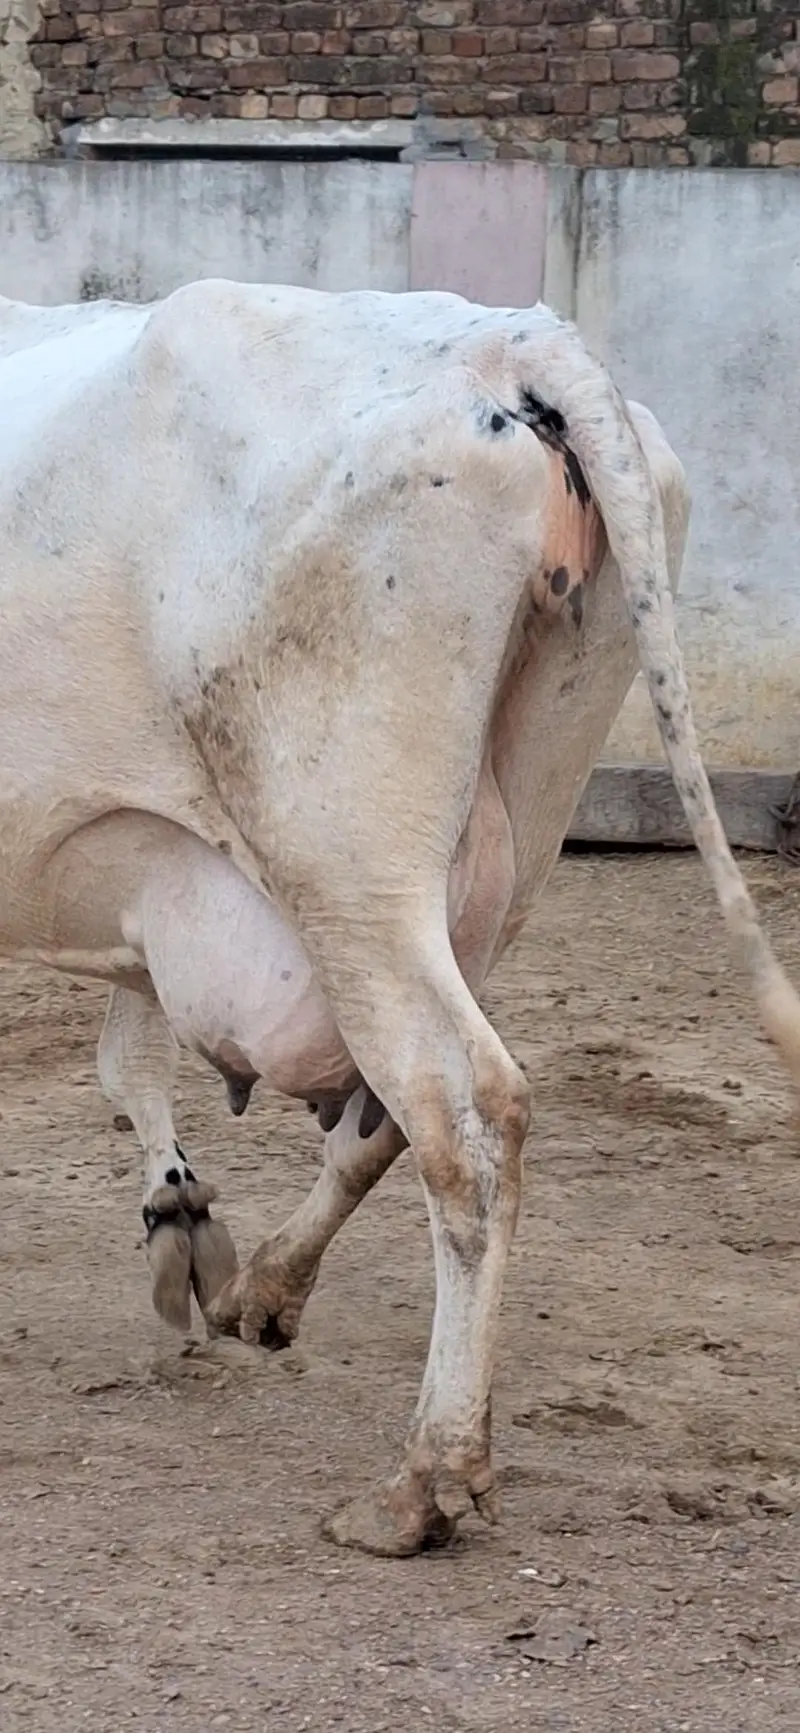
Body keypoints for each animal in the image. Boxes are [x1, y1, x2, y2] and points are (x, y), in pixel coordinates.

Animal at [2, 280, 799, 1559]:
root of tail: (508, 341)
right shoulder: (150, 865)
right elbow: (133, 1051)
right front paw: (175, 1211)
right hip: (501, 843)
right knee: (394, 1114)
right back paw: (269, 1286)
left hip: (345, 861)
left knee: (461, 1111)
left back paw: (427, 1475)